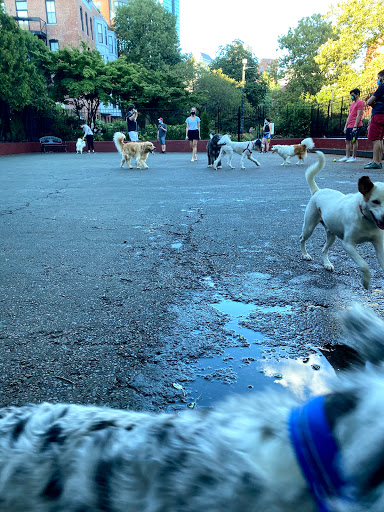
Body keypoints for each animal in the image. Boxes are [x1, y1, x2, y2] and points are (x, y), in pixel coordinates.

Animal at [300, 151, 384, 288]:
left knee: (324, 249)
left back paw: (327, 264)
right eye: (375, 201)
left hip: (331, 236)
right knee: (302, 239)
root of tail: (318, 191)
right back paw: (305, 254)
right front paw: (366, 281)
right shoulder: (348, 245)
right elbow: (364, 264)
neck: (365, 219)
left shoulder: (379, 245)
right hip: (309, 227)